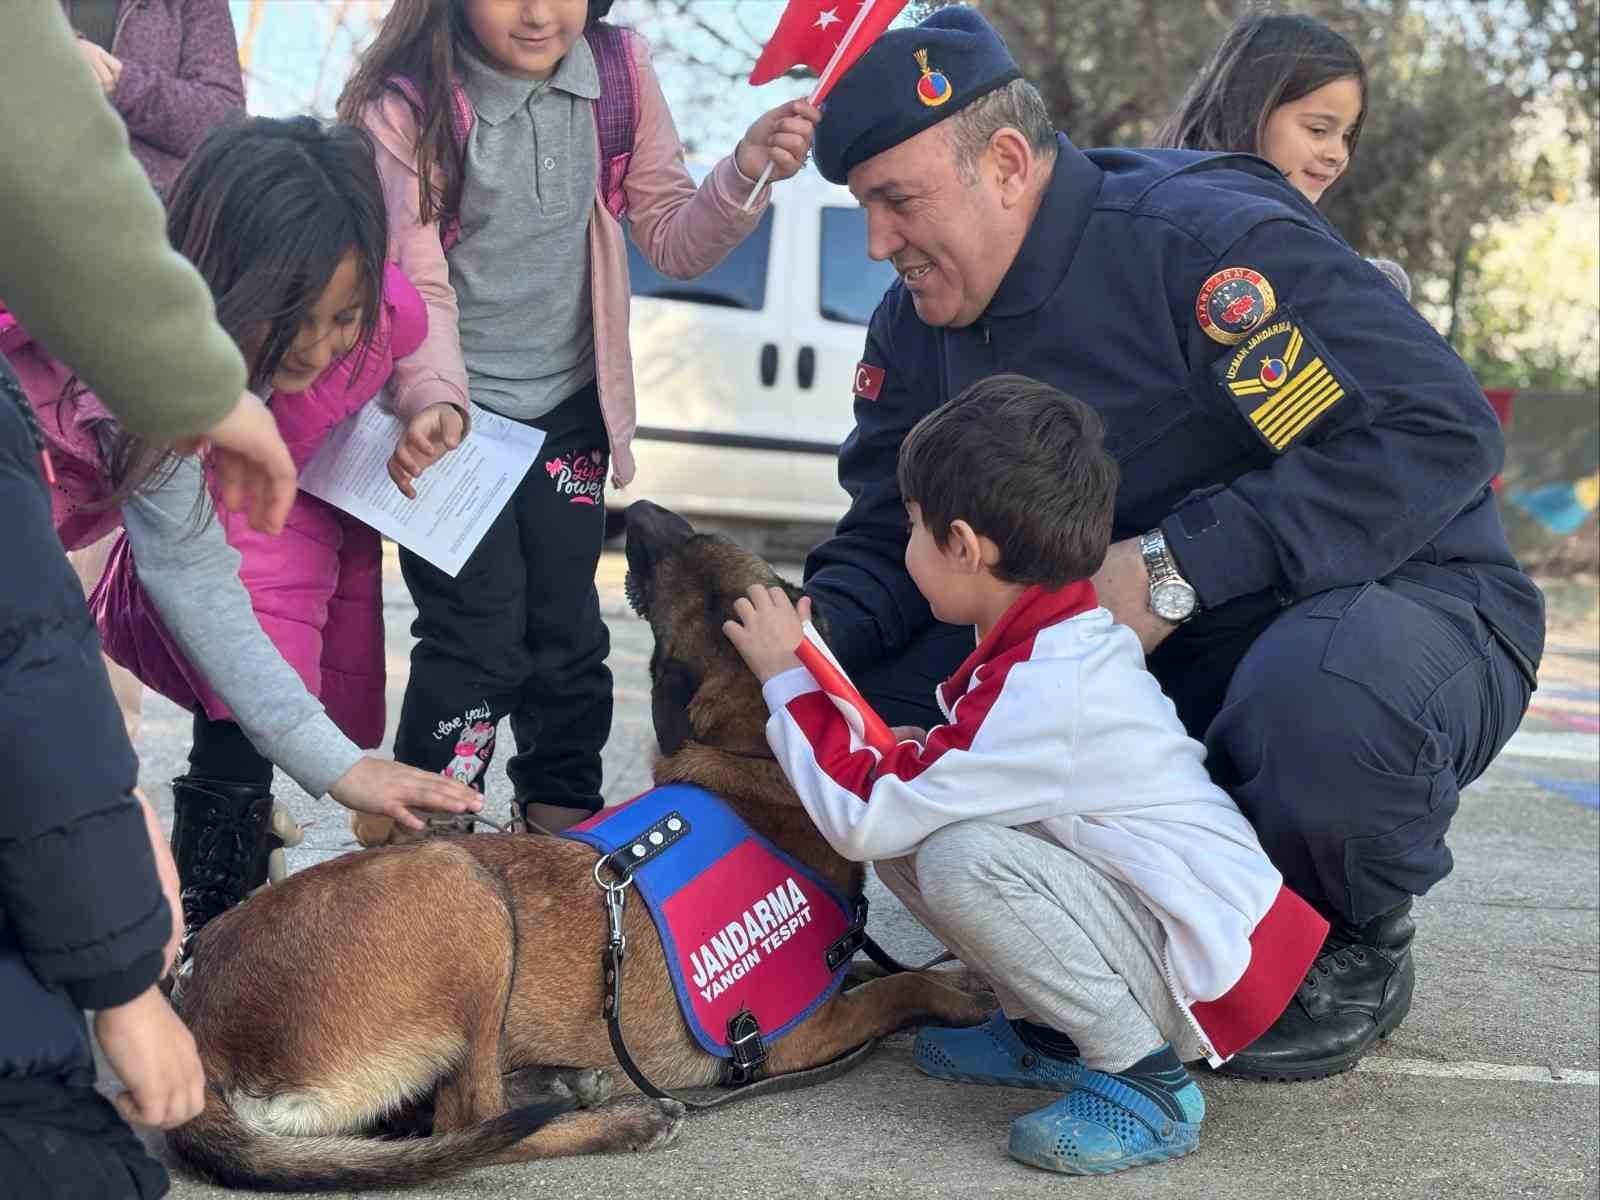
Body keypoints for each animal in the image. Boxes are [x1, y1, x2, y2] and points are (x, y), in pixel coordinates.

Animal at [165, 499, 985, 1196]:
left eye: (703, 542)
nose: (638, 511)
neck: (755, 770)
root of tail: (198, 1030)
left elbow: (879, 974)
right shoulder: (795, 1035)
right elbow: (893, 990)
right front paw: (958, 996)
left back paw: (569, 1081)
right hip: (465, 895)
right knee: (471, 1122)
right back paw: (621, 1119)